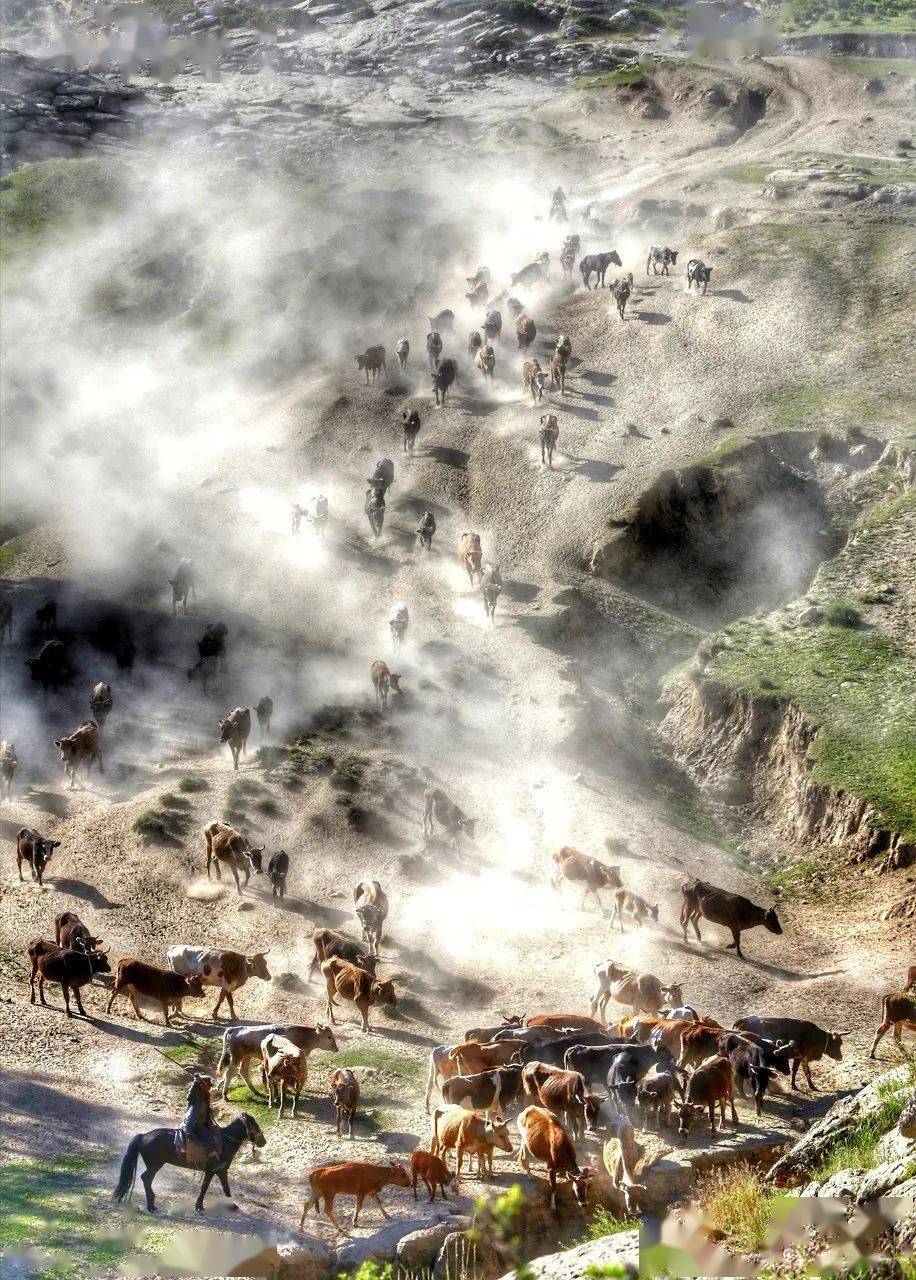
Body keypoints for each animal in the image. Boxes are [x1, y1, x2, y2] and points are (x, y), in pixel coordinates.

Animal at [112, 1111, 266, 1208]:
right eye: (254, 1124)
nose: (263, 1142)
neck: (225, 1142)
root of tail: (144, 1136)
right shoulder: (212, 1171)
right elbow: (205, 1188)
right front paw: (199, 1206)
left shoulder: (221, 1172)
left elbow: (225, 1188)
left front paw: (232, 1205)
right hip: (155, 1165)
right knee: (146, 1179)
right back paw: (151, 1205)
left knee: (147, 1179)